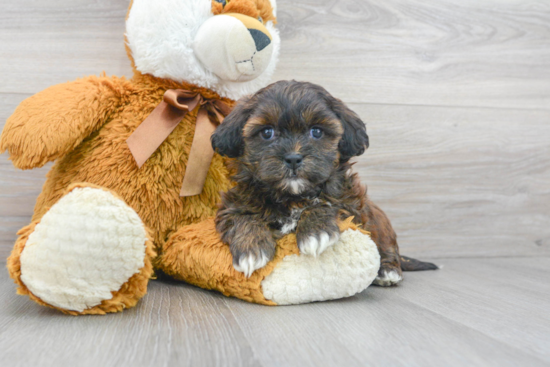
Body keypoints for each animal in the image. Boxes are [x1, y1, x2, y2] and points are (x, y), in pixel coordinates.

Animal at [212, 80, 440, 286]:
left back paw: (387, 271)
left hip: (381, 225)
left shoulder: (351, 205)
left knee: (387, 249)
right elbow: (242, 217)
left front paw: (315, 231)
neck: (292, 196)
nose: (293, 158)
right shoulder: (233, 204)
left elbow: (326, 203)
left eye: (317, 132)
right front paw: (251, 248)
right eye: (267, 132)